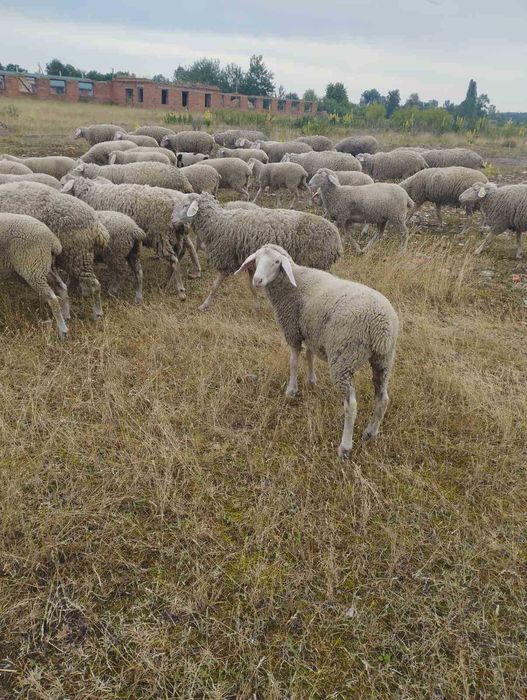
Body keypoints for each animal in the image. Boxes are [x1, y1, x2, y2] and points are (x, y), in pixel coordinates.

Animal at [61, 177, 200, 299]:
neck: (88, 193)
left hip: (160, 234)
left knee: (175, 259)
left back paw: (180, 290)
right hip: (175, 235)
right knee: (182, 252)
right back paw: (168, 281)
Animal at [170, 192, 342, 310]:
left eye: (185, 205)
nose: (171, 221)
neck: (217, 223)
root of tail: (337, 239)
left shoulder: (226, 259)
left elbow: (214, 286)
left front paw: (204, 304)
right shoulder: (249, 261)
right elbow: (252, 286)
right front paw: (257, 305)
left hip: (318, 262)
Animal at [235, 244, 398, 458]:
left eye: (277, 262)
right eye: (256, 259)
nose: (257, 280)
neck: (294, 281)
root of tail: (381, 326)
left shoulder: (292, 331)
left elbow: (294, 361)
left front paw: (292, 389)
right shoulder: (311, 330)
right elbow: (309, 356)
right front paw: (312, 380)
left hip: (343, 358)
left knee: (351, 405)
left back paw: (345, 447)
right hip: (384, 359)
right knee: (383, 398)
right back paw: (371, 432)